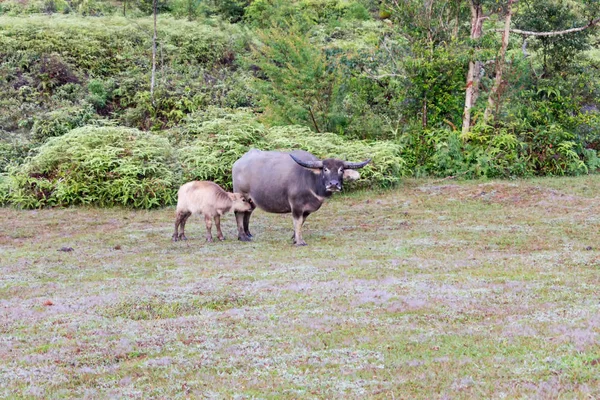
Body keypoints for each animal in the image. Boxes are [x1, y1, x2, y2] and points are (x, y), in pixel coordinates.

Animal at [231, 149, 368, 245]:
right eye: (325, 169)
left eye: (341, 170)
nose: (333, 184)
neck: (310, 180)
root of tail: (238, 162)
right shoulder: (296, 206)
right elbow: (297, 222)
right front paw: (299, 241)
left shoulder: (306, 210)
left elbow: (301, 222)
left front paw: (294, 238)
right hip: (241, 194)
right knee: (239, 213)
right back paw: (242, 237)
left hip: (252, 200)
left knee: (248, 212)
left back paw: (248, 234)